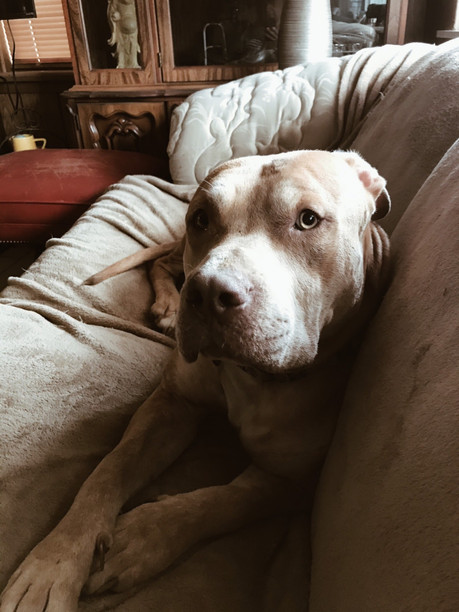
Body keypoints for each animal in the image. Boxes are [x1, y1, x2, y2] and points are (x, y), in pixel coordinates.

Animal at [0, 150, 390, 611]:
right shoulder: (170, 406)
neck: (248, 377)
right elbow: (108, 469)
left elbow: (227, 499)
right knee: (159, 262)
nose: (207, 294)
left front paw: (144, 535)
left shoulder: (294, 479)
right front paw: (53, 562)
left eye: (308, 220)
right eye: (201, 218)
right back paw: (169, 305)